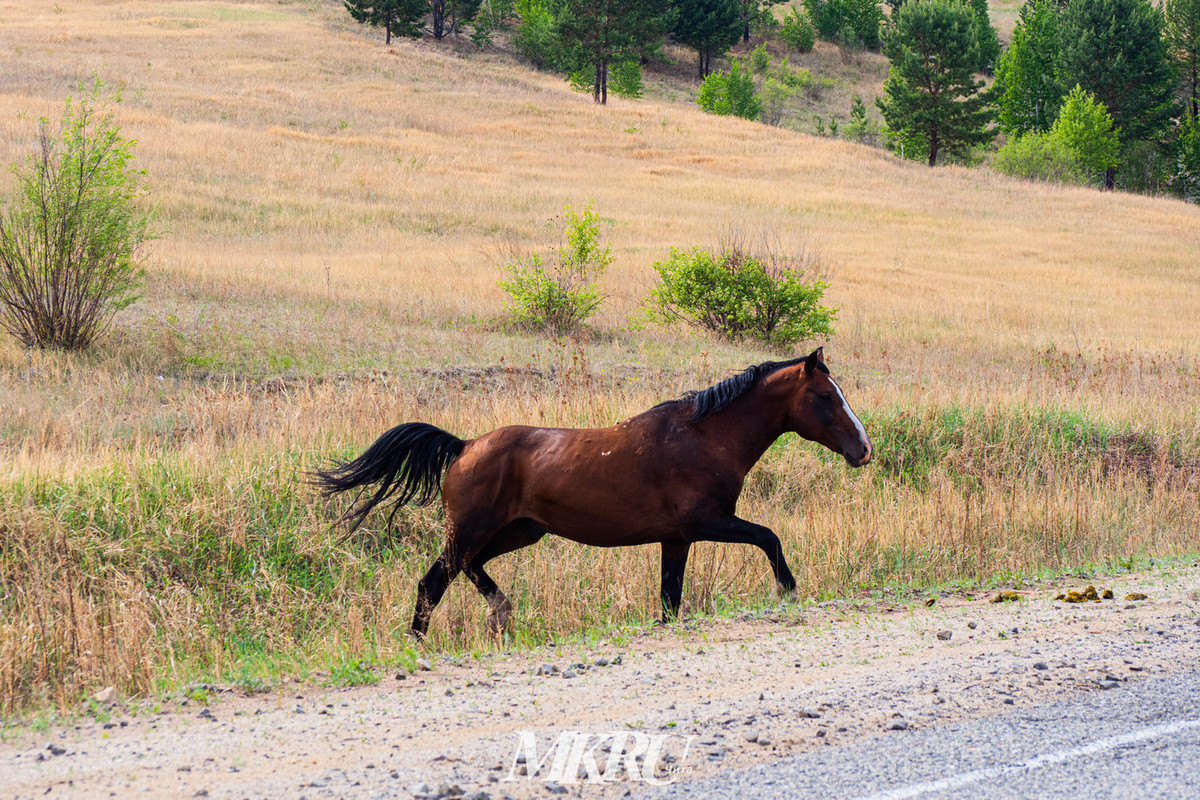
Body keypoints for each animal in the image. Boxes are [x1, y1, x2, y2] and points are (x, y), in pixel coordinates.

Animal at [314, 347, 868, 633]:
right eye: (824, 396)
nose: (863, 449)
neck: (705, 437)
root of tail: (465, 446)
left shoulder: (677, 539)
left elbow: (669, 602)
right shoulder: (706, 522)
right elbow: (769, 537)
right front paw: (787, 589)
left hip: (518, 532)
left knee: (468, 570)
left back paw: (501, 612)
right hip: (473, 530)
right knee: (433, 582)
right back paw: (422, 640)